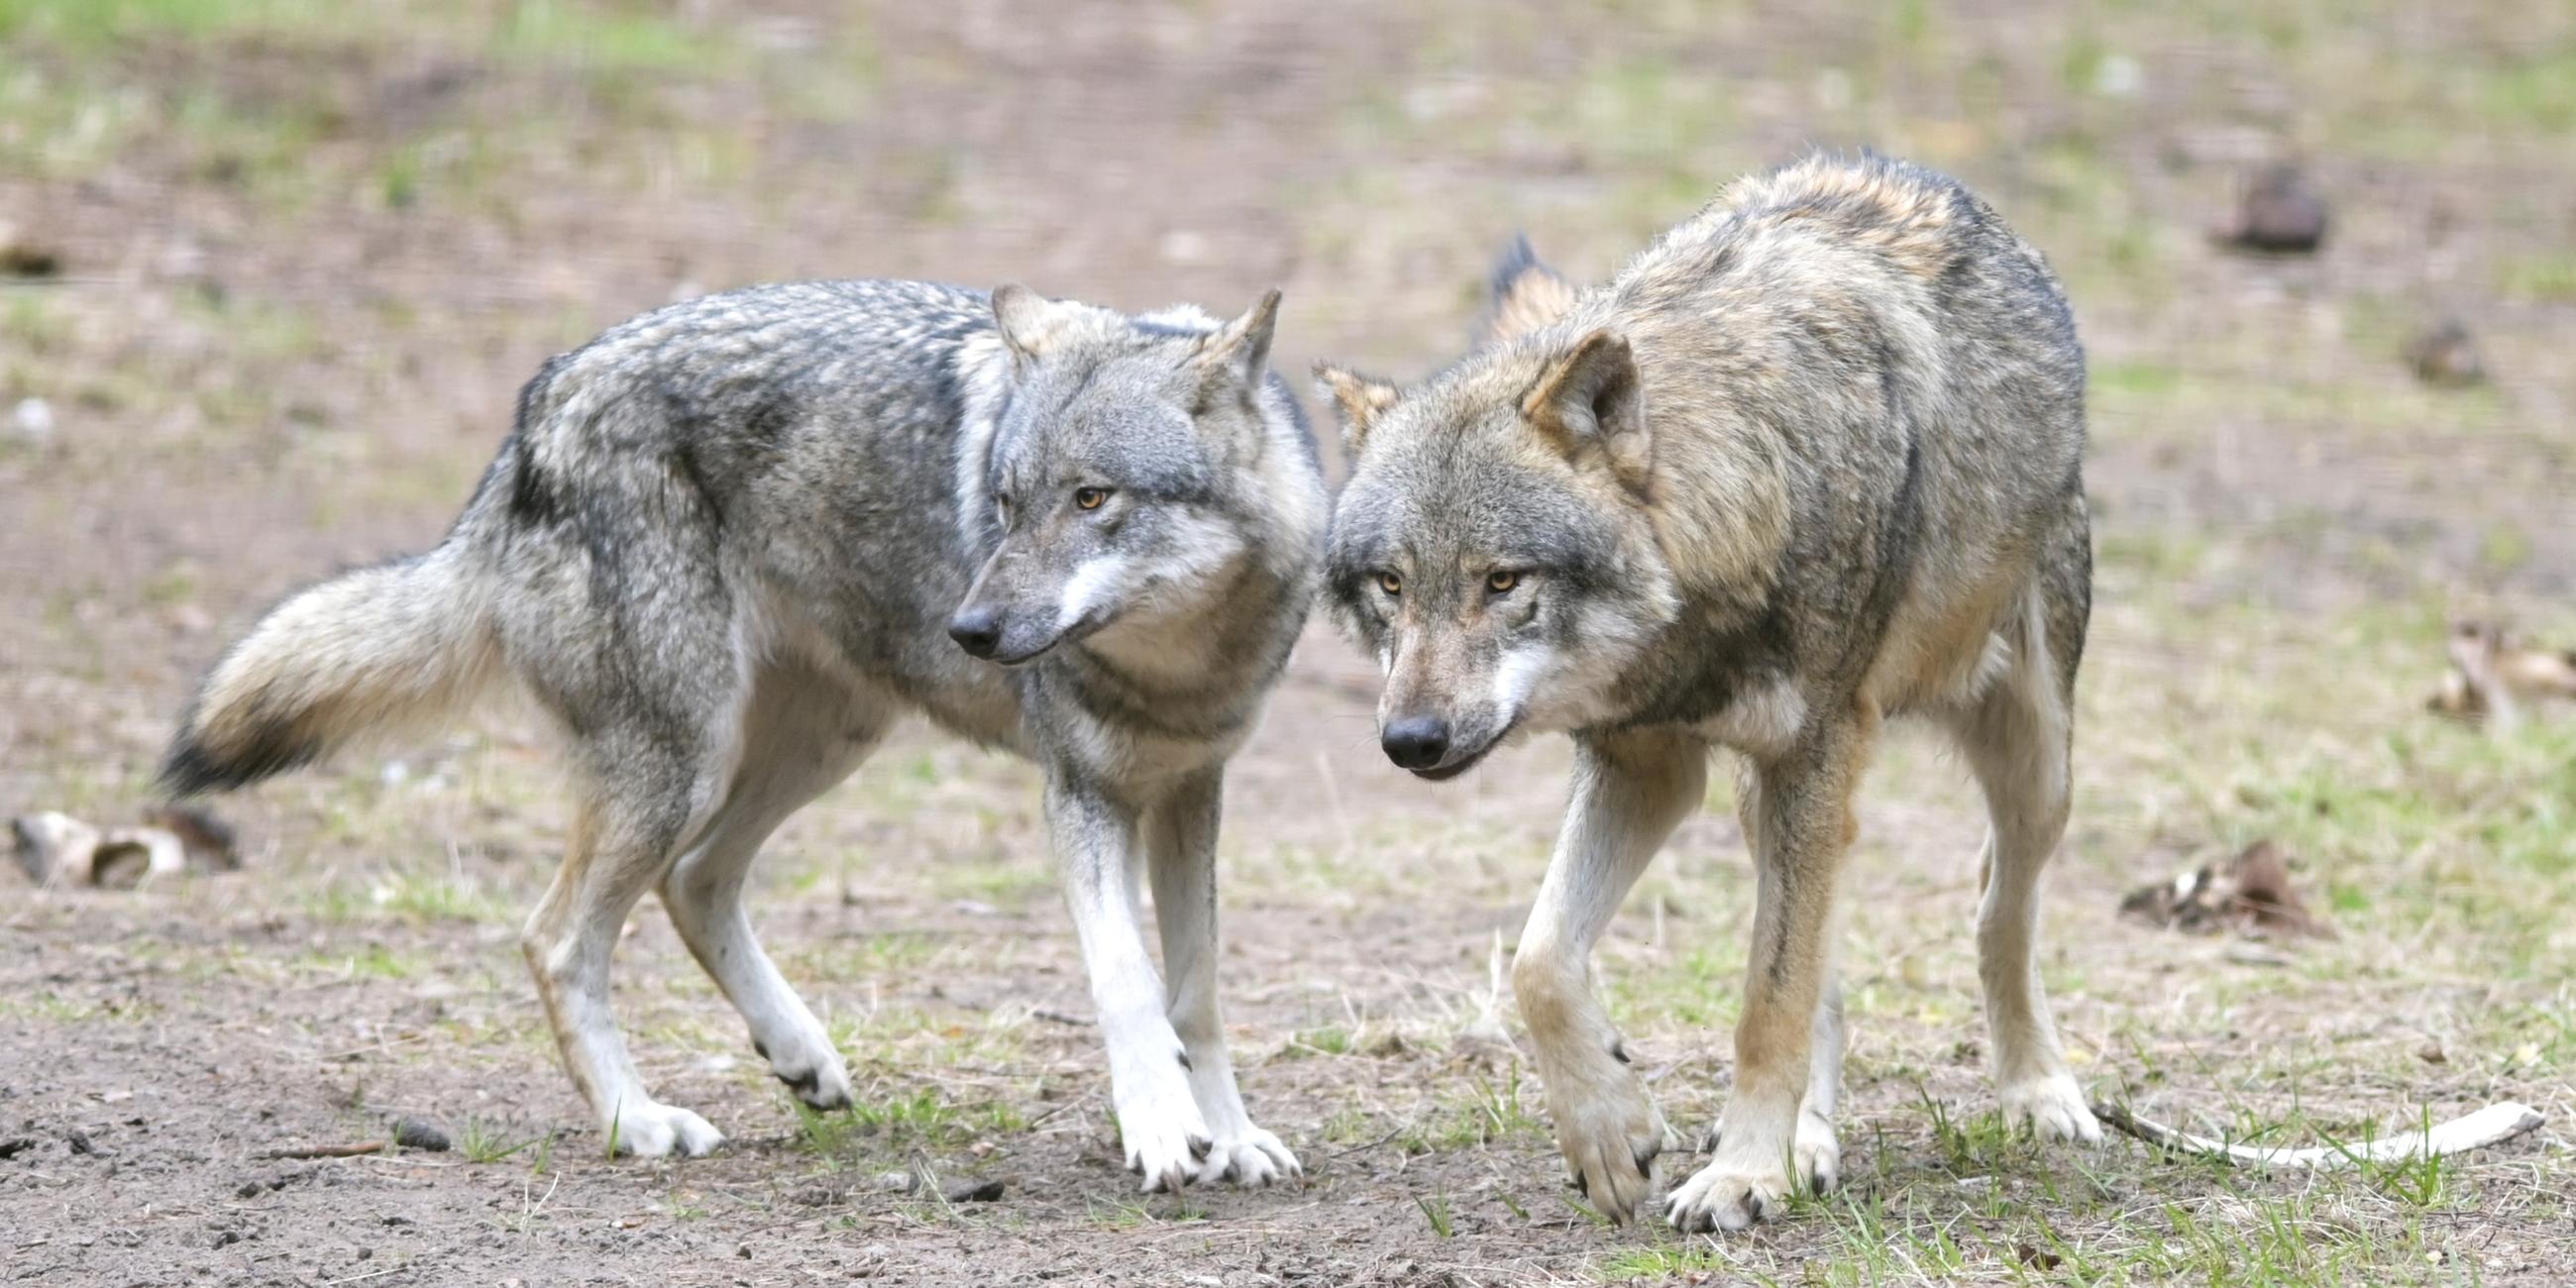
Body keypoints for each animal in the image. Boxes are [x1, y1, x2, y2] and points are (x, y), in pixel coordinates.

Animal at [161, 279, 1329, 1185]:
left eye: (1091, 498)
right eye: (1002, 504)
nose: (972, 629)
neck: (1179, 664)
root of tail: (537, 410)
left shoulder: (1189, 792)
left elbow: (1196, 993)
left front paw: (1229, 1135)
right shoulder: (1081, 796)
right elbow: (1128, 982)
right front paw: (1162, 1131)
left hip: (819, 743)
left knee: (695, 881)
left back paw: (797, 1055)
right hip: (681, 766)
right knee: (557, 936)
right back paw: (637, 1123)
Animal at [1319, 156, 2101, 1231]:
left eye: (1503, 580)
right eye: (1391, 585)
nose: (1410, 739)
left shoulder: (1811, 752)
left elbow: (1767, 1002)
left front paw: (1740, 1173)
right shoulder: (1646, 764)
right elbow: (1540, 962)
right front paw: (1614, 1134)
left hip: (2032, 761)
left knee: (1995, 908)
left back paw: (2036, 1093)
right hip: (1765, 797)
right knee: (1828, 967)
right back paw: (1809, 1140)